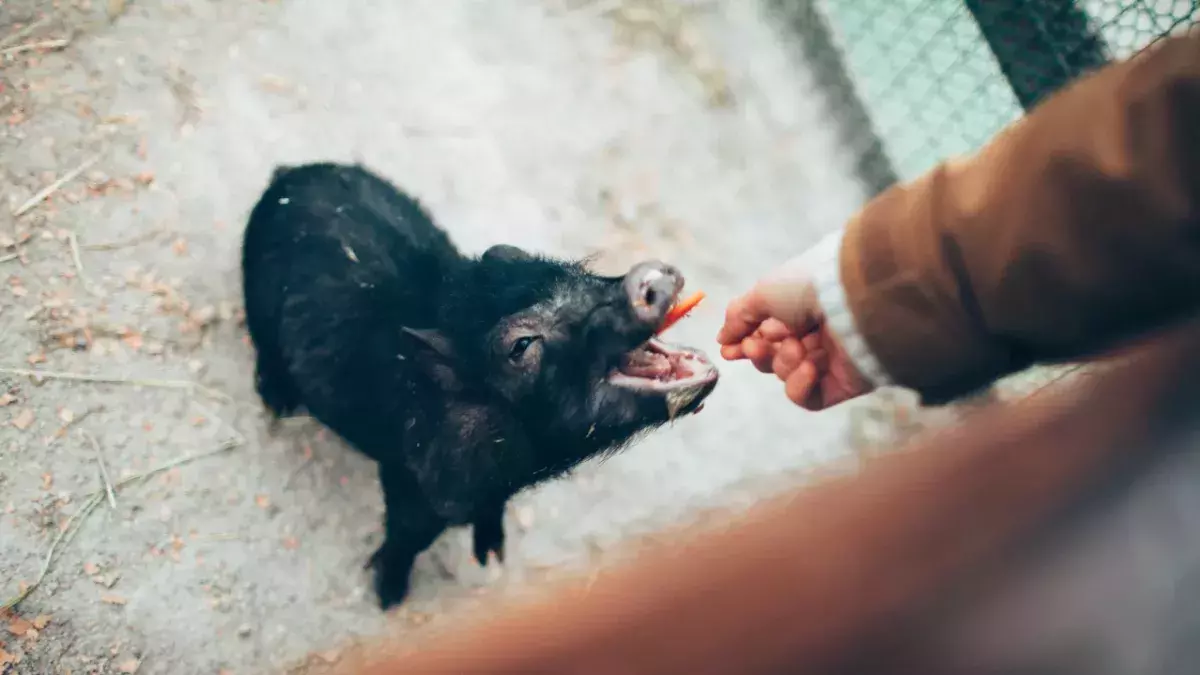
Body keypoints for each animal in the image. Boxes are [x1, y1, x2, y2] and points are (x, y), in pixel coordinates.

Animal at [240, 162, 719, 609]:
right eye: (520, 345)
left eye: (577, 273)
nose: (650, 276)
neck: (523, 460)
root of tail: (287, 175)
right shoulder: (409, 480)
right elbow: (406, 537)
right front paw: (389, 598)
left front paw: (492, 556)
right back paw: (278, 402)